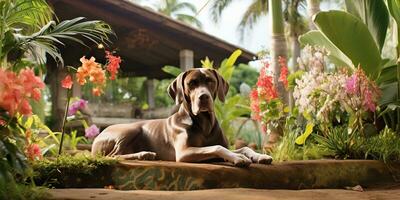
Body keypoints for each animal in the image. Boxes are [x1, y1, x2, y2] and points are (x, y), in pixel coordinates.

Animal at [91, 68, 274, 166]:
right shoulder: (184, 152)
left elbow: (244, 147)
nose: (203, 97)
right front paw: (238, 158)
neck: (204, 123)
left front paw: (260, 155)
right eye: (191, 83)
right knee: (112, 155)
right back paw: (143, 154)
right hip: (131, 129)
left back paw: (145, 154)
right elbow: (217, 148)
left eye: (210, 81)